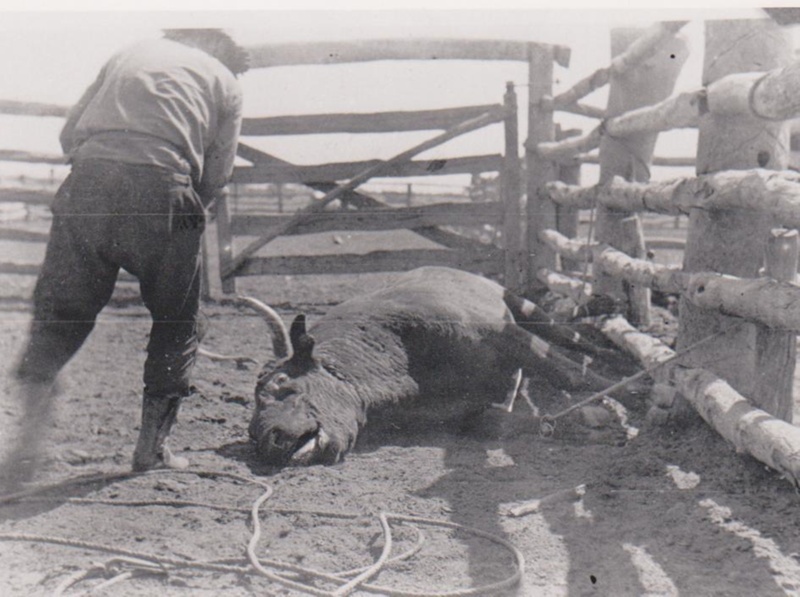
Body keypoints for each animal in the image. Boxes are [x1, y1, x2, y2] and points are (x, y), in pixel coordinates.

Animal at [242, 266, 632, 466]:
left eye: (283, 383)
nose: (265, 440)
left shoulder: (507, 335)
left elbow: (571, 374)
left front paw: (633, 394)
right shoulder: (468, 413)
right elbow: (498, 423)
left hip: (525, 308)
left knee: (571, 336)